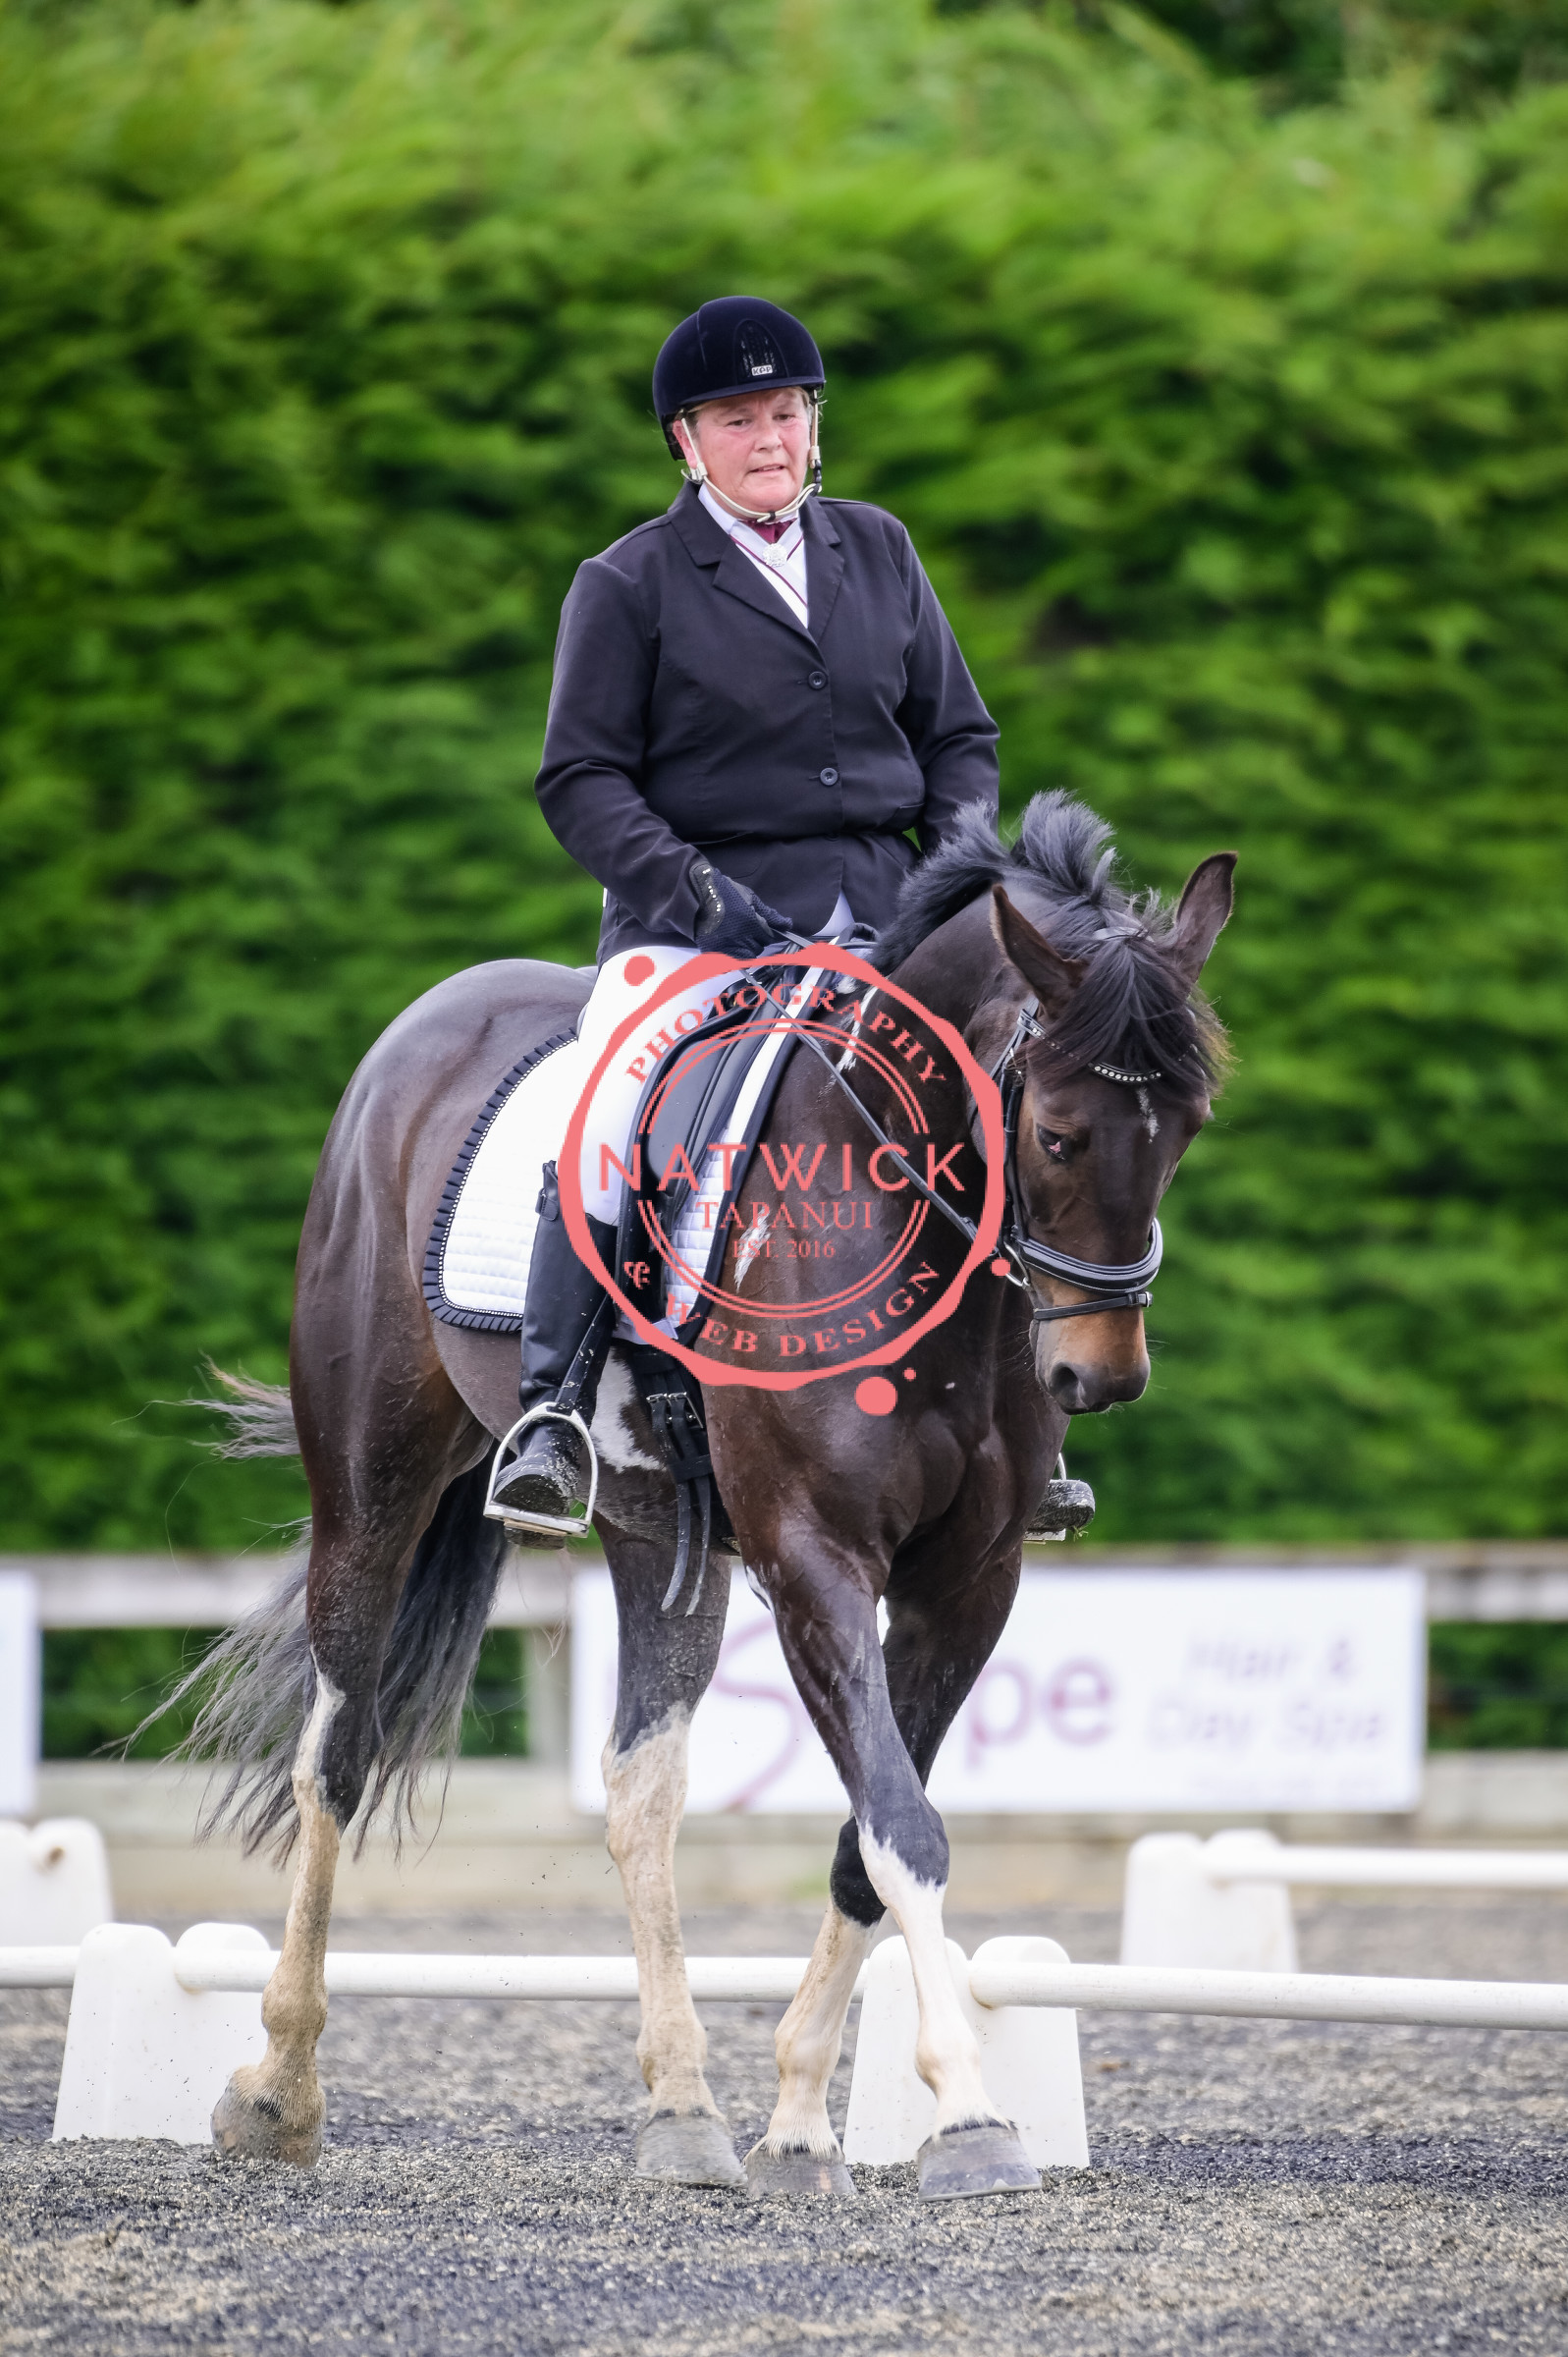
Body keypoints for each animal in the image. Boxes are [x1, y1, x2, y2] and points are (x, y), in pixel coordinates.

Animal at [180, 789, 1233, 2199]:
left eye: (1186, 1129)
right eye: (1057, 1132)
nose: (1097, 1376)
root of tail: (429, 1021)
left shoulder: (970, 1581)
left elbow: (864, 1840)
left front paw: (798, 2124)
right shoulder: (812, 1554)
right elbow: (902, 1826)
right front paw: (968, 2116)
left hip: (653, 1528)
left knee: (639, 1796)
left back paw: (682, 2111)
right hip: (371, 1484)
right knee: (335, 1758)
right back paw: (275, 2091)